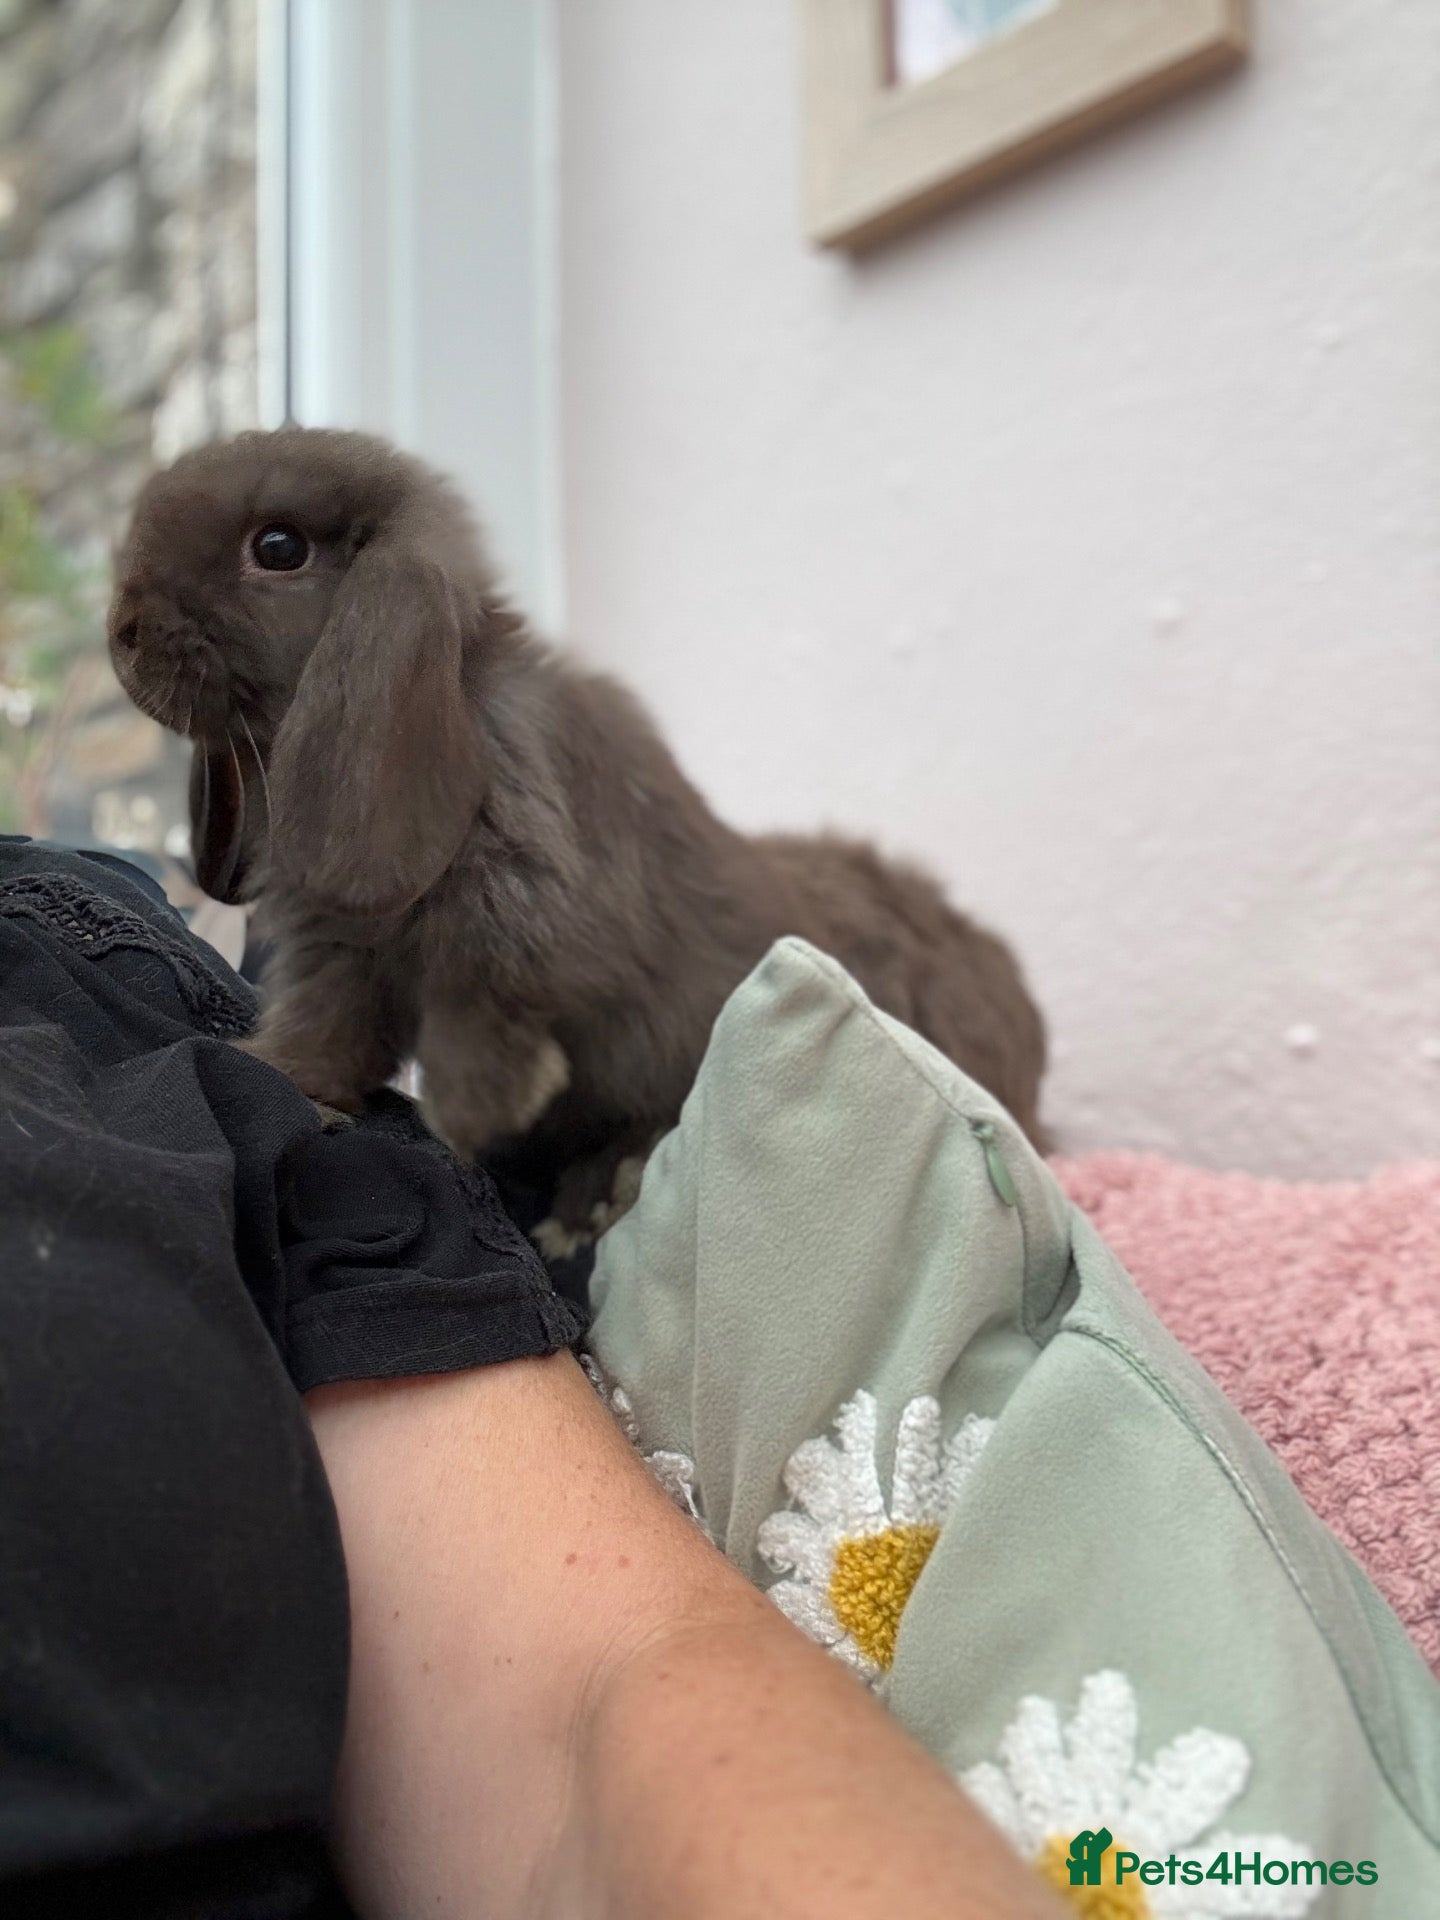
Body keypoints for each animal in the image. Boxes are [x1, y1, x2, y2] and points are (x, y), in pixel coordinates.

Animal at [108, 427, 1049, 1233]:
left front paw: (475, 1114)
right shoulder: (337, 953)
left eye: (277, 548)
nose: (121, 633)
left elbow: (485, 1002)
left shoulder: (528, 912)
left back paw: (597, 1196)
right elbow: (325, 1027)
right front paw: (281, 1077)